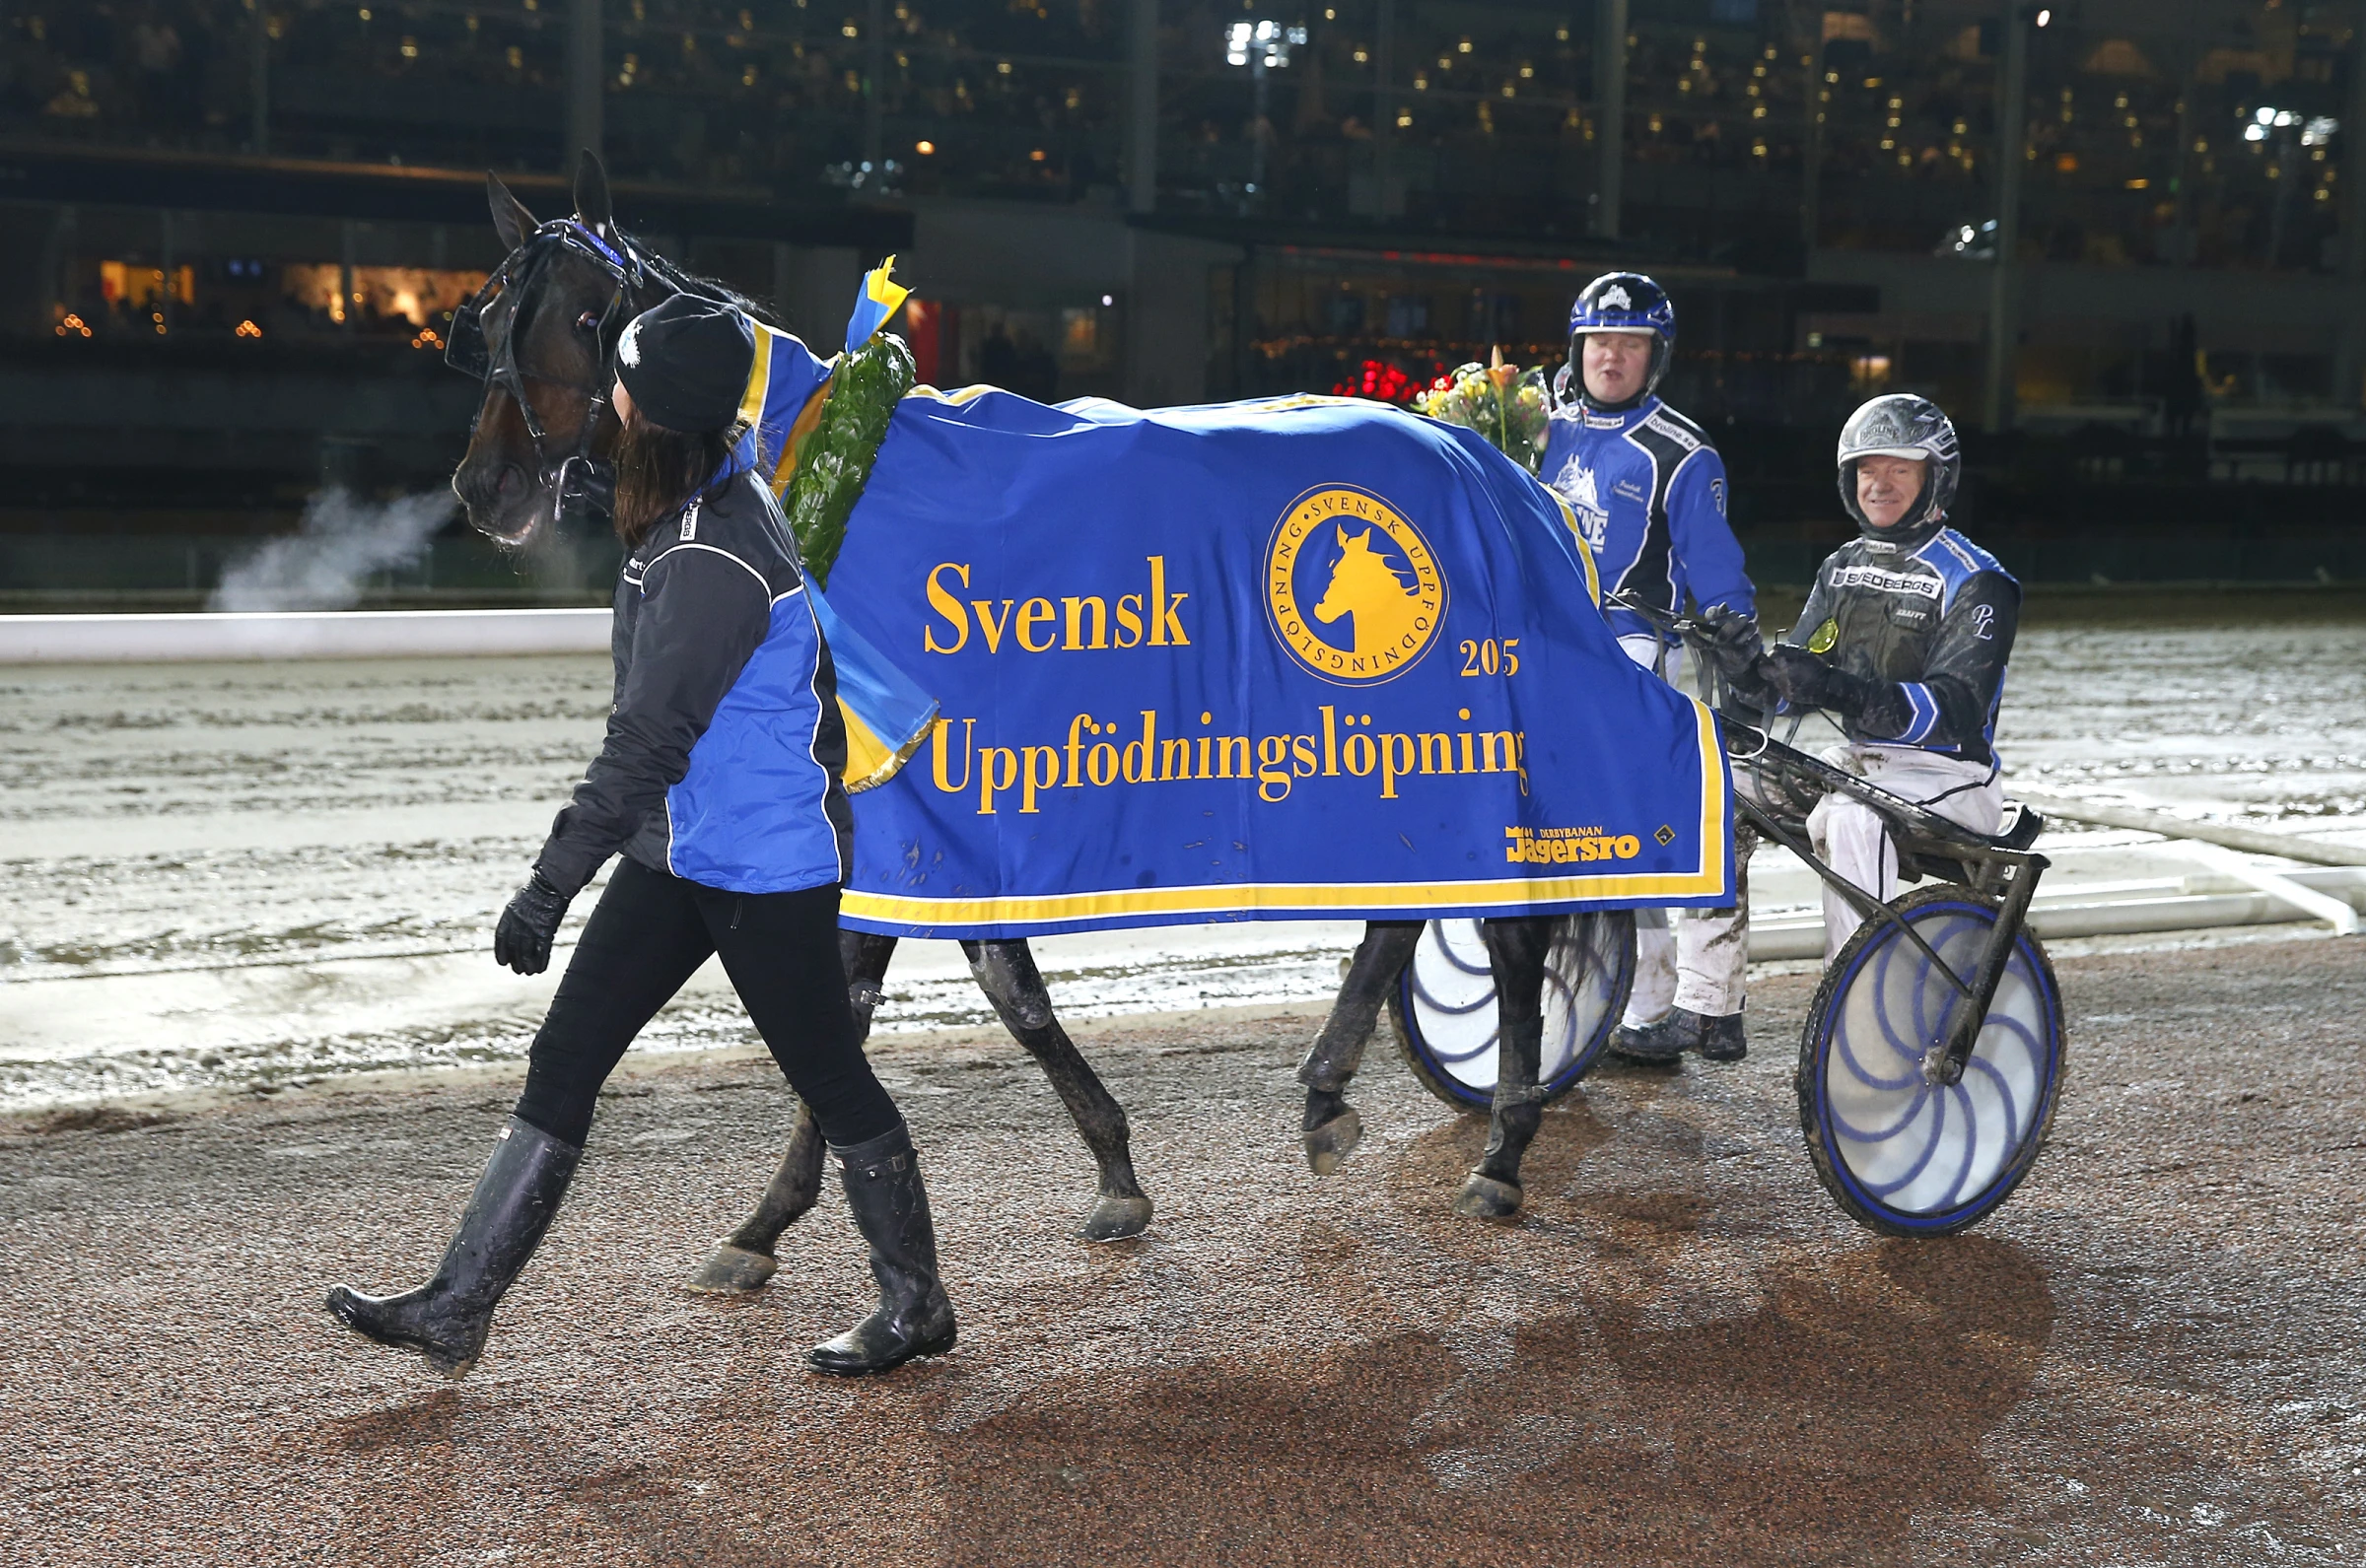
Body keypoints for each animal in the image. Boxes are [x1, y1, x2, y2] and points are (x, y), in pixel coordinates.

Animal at [445, 150, 1589, 1286]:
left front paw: (770, 1218)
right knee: (1409, 910)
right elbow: (981, 997)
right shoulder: (918, 823)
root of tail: (1491, 462)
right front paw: (1108, 1169)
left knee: (1510, 922)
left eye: (588, 318)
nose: (487, 486)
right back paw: (1328, 1095)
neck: (820, 477)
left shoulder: (888, 815)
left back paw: (1503, 1147)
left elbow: (878, 1012)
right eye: (491, 315)